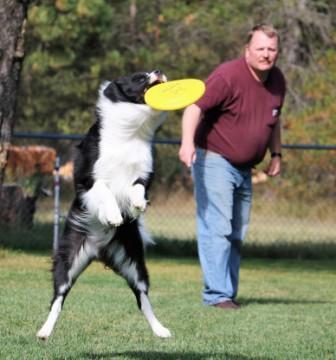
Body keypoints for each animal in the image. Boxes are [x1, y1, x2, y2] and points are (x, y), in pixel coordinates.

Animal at [37, 69, 171, 340]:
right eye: (139, 77)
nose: (160, 71)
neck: (129, 134)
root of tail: (98, 250)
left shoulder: (143, 174)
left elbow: (137, 188)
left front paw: (137, 204)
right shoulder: (87, 178)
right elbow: (105, 192)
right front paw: (114, 216)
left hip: (134, 262)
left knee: (142, 297)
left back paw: (160, 330)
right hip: (68, 259)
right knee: (58, 298)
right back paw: (45, 331)